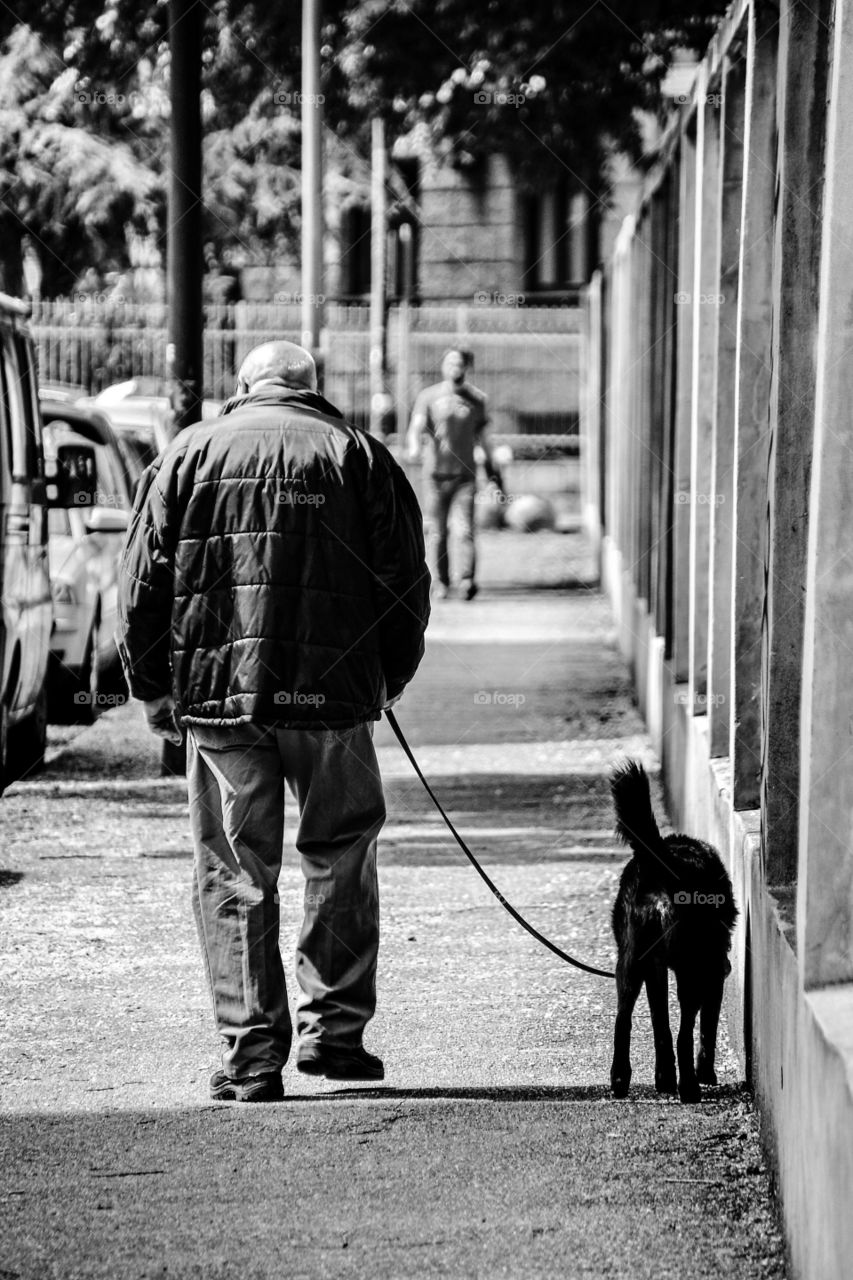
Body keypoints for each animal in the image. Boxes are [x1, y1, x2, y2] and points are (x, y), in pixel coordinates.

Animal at [607, 757, 732, 1100]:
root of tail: (660, 861)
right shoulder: (712, 974)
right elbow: (706, 1030)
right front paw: (706, 1073)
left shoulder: (655, 968)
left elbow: (660, 1022)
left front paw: (663, 1076)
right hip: (691, 971)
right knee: (685, 1031)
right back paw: (689, 1086)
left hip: (631, 963)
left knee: (624, 1019)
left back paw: (623, 1079)